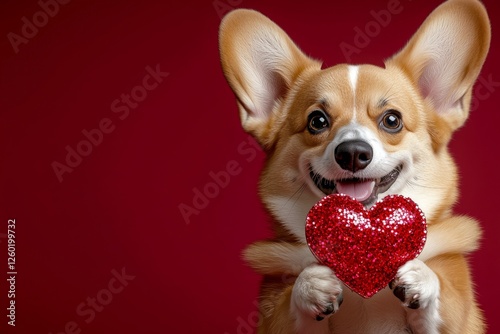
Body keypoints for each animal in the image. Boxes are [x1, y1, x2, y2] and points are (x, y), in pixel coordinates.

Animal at [221, 1, 490, 332]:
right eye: (317, 121)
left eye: (392, 120)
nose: (352, 153)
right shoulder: (276, 320)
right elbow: (293, 303)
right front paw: (310, 285)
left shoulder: (457, 319)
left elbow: (442, 299)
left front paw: (421, 278)